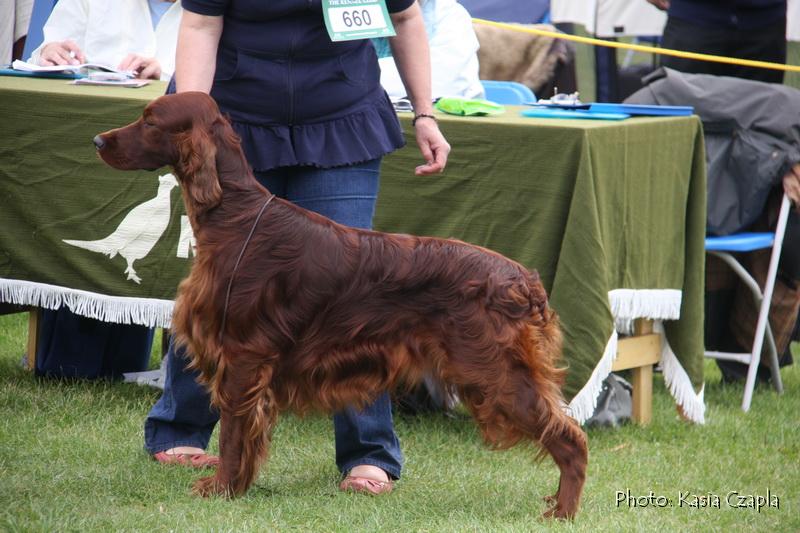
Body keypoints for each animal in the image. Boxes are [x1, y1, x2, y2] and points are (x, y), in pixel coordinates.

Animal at [94, 92, 588, 520]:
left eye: (150, 121)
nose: (98, 140)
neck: (236, 216)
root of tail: (524, 281)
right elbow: (248, 436)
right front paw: (238, 486)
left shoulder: (243, 355)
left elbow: (233, 435)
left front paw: (222, 490)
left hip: (495, 372)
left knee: (571, 439)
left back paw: (562, 514)